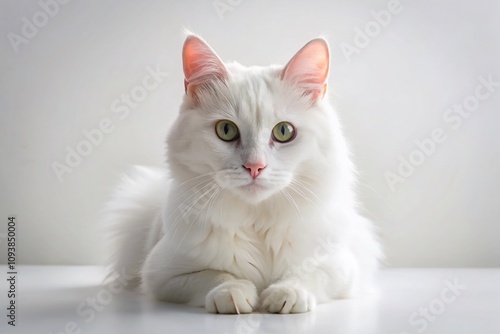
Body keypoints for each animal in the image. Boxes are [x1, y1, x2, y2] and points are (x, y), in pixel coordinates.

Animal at [104, 34, 378, 314]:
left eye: (284, 132)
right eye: (226, 130)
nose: (255, 167)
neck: (257, 222)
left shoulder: (339, 265)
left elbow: (305, 273)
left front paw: (286, 294)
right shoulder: (163, 273)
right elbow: (218, 275)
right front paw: (233, 294)